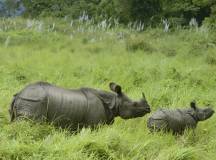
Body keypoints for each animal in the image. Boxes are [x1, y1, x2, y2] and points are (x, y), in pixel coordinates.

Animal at [8, 82, 150, 129]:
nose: (148, 109)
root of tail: (19, 94)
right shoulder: (94, 125)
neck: (113, 101)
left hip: (28, 100)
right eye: (134, 104)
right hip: (33, 100)